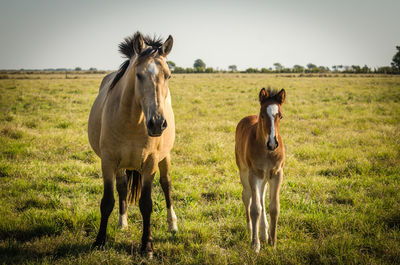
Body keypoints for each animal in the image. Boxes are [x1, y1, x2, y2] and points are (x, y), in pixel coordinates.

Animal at [88, 31, 177, 256]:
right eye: (139, 75)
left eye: (168, 75)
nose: (157, 123)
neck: (133, 121)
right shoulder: (108, 161)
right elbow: (107, 201)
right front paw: (99, 241)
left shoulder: (150, 163)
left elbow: (146, 204)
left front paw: (147, 246)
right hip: (120, 166)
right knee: (121, 188)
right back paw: (123, 222)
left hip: (165, 157)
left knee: (166, 184)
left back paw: (173, 224)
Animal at [234, 87, 284, 252]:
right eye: (262, 115)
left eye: (280, 116)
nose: (272, 143)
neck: (267, 151)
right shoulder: (254, 174)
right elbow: (255, 208)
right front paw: (255, 245)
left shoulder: (277, 174)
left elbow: (273, 207)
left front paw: (272, 242)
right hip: (244, 172)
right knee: (247, 196)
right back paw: (251, 231)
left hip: (264, 178)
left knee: (261, 198)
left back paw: (264, 233)